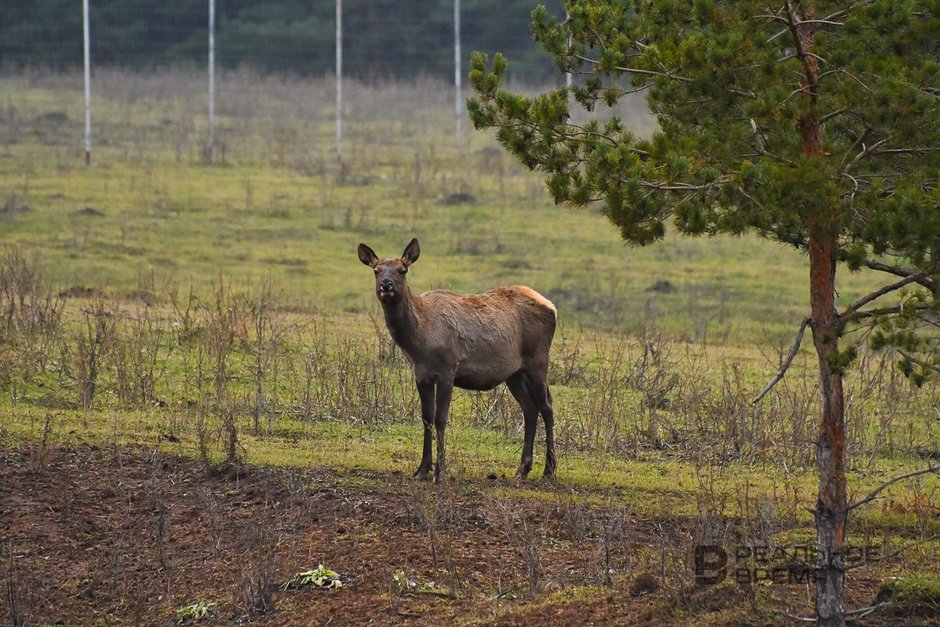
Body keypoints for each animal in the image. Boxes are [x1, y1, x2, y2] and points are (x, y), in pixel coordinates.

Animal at [358, 238, 552, 484]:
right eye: (376, 270)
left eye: (402, 270)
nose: (385, 284)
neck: (419, 342)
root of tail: (553, 307)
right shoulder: (421, 374)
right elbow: (426, 418)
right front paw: (422, 470)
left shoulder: (448, 371)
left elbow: (440, 419)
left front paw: (440, 472)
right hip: (514, 373)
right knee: (530, 408)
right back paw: (522, 470)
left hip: (538, 361)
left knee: (547, 406)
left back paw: (549, 470)